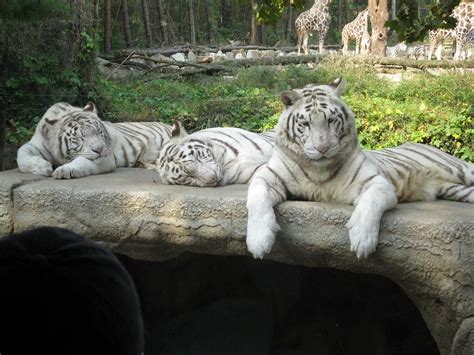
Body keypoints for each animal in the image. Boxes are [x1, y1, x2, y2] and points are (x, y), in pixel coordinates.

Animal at [17, 103, 172, 181]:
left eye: (98, 131)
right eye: (79, 138)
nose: (99, 150)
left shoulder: (107, 157)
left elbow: (83, 160)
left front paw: (64, 170)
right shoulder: (36, 143)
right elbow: (21, 154)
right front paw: (43, 167)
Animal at [246, 79, 474, 260]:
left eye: (331, 120)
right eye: (306, 123)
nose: (323, 148)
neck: (318, 170)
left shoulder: (377, 182)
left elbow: (371, 202)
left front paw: (362, 240)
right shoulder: (268, 177)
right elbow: (257, 198)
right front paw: (258, 241)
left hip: (462, 170)